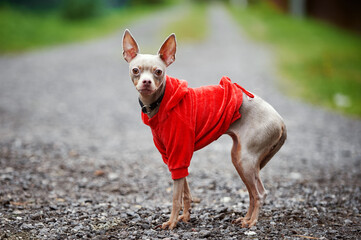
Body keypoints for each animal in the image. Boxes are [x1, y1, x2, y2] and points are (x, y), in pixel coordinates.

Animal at [122, 29, 286, 230]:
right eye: (135, 70)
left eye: (158, 71)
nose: (146, 82)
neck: (159, 103)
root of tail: (280, 120)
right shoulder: (174, 158)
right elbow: (185, 192)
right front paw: (185, 217)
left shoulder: (179, 154)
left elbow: (175, 197)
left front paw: (171, 222)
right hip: (240, 160)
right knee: (252, 193)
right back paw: (246, 218)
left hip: (245, 160)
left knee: (260, 193)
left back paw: (252, 221)